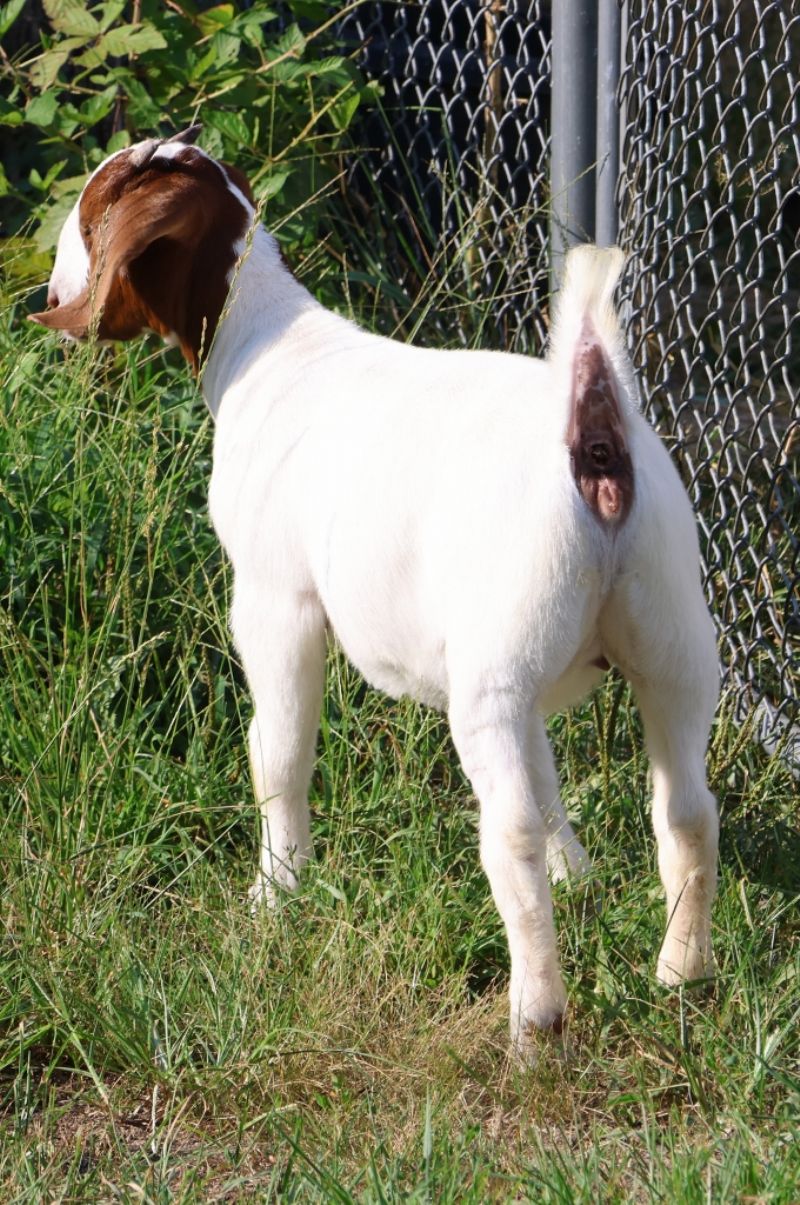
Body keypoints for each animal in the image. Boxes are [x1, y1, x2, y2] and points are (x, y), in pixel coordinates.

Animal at [31, 126, 720, 1060]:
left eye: (93, 205)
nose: (49, 290)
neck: (265, 344)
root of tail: (596, 434)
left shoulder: (275, 600)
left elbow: (279, 752)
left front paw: (277, 892)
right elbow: (551, 780)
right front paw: (581, 879)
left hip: (497, 670)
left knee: (510, 831)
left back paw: (535, 1018)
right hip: (669, 639)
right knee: (686, 812)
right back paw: (682, 974)